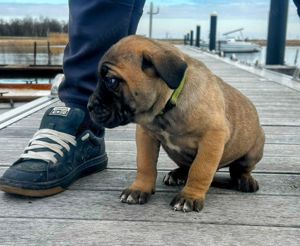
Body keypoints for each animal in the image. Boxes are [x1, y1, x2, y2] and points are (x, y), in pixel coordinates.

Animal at [88, 35, 264, 212]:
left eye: (111, 81)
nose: (89, 106)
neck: (167, 106)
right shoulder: (146, 135)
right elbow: (145, 164)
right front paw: (139, 189)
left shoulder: (213, 136)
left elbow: (200, 169)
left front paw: (189, 196)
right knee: (186, 166)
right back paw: (177, 174)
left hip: (254, 149)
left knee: (238, 170)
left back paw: (245, 180)